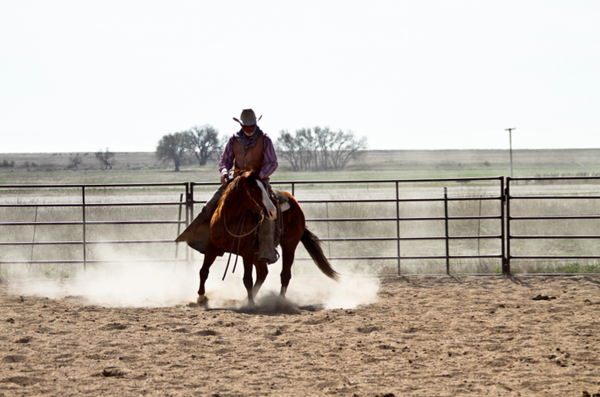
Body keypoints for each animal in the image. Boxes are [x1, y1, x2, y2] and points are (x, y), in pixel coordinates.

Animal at [188, 167, 338, 306]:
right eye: (252, 189)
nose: (273, 211)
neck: (231, 220)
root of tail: (294, 202)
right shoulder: (212, 247)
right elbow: (203, 271)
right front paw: (200, 297)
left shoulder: (247, 251)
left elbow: (247, 278)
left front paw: (250, 304)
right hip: (259, 253)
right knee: (262, 273)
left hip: (289, 244)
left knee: (285, 274)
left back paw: (279, 301)